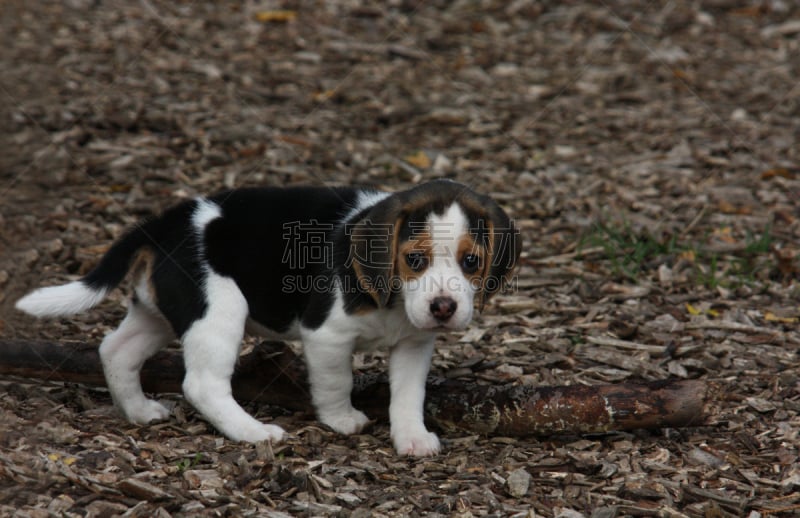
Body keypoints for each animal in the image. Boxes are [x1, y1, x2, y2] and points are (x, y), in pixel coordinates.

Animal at [17, 181, 524, 458]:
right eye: (415, 260)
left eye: (471, 262)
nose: (444, 308)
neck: (394, 300)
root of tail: (164, 222)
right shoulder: (326, 338)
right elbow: (336, 382)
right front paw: (343, 420)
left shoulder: (414, 345)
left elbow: (407, 396)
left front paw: (413, 438)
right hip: (219, 310)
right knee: (201, 385)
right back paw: (254, 432)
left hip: (162, 313)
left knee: (115, 350)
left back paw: (139, 411)